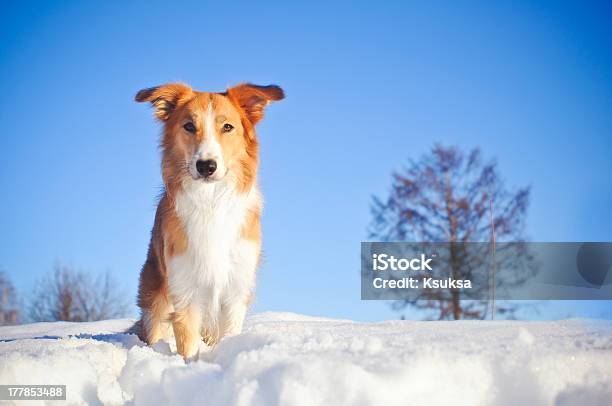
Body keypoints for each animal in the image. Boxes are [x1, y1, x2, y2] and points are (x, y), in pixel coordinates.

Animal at [134, 81, 284, 358]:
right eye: (189, 126)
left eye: (227, 127)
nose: (206, 166)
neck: (211, 202)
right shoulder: (185, 290)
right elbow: (189, 347)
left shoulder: (235, 289)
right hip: (156, 300)